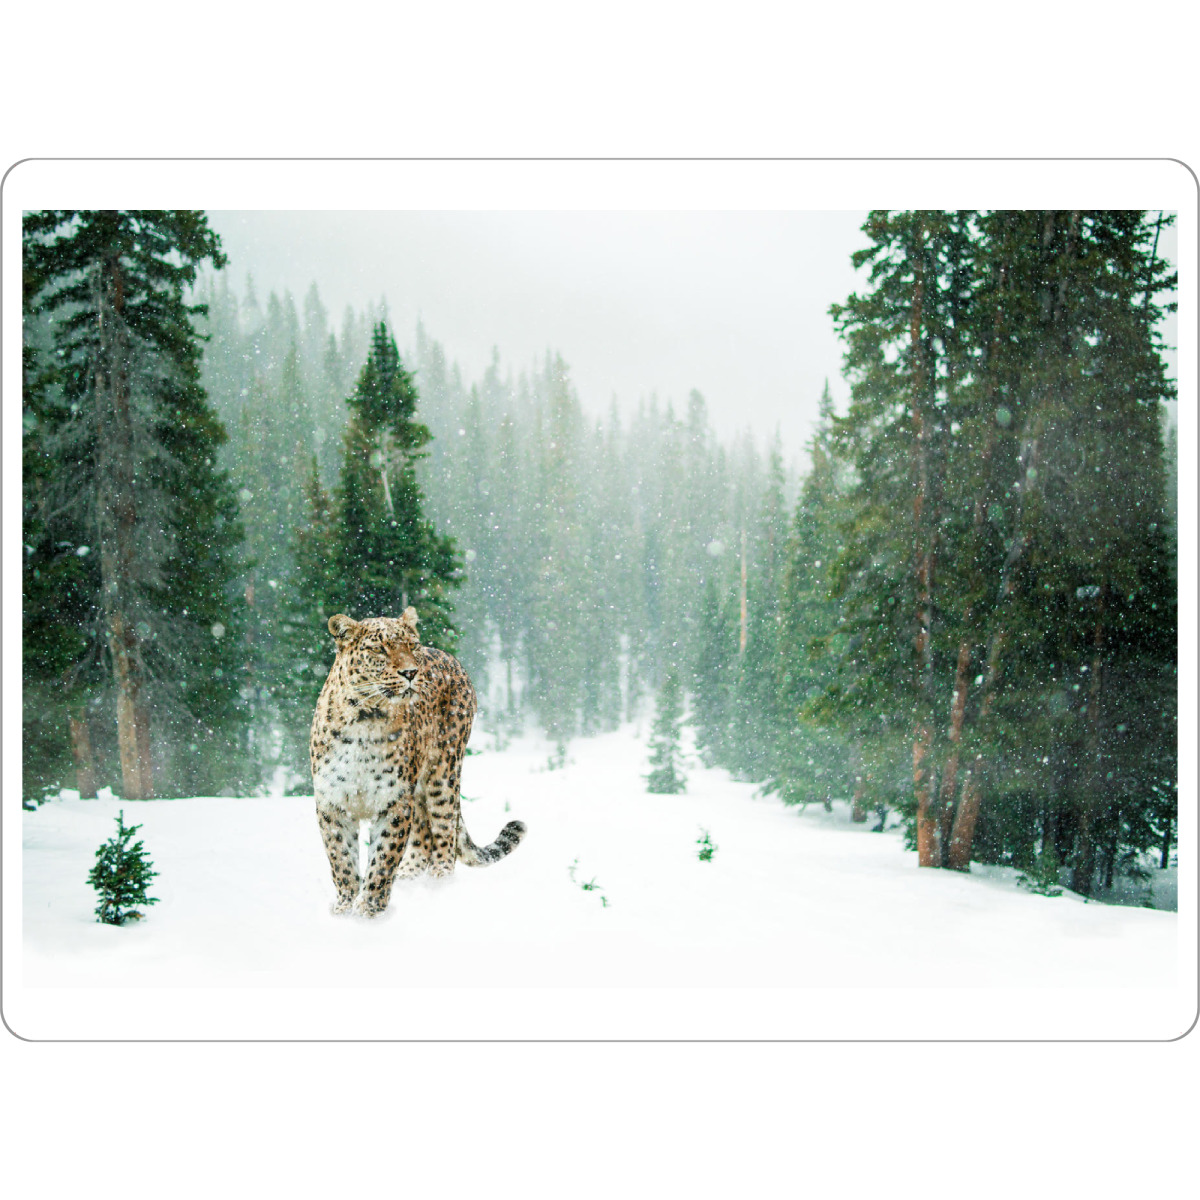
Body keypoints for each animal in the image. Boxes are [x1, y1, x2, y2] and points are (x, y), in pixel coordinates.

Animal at [310, 606, 526, 917]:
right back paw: (410, 877)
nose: (411, 672)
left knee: (444, 832)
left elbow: (383, 858)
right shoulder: (333, 802)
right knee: (424, 835)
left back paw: (439, 885)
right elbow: (341, 859)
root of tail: (451, 657)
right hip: (421, 789)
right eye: (379, 649)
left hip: (443, 773)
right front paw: (345, 907)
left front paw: (369, 910)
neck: (365, 719)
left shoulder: (395, 801)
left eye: (411, 645)